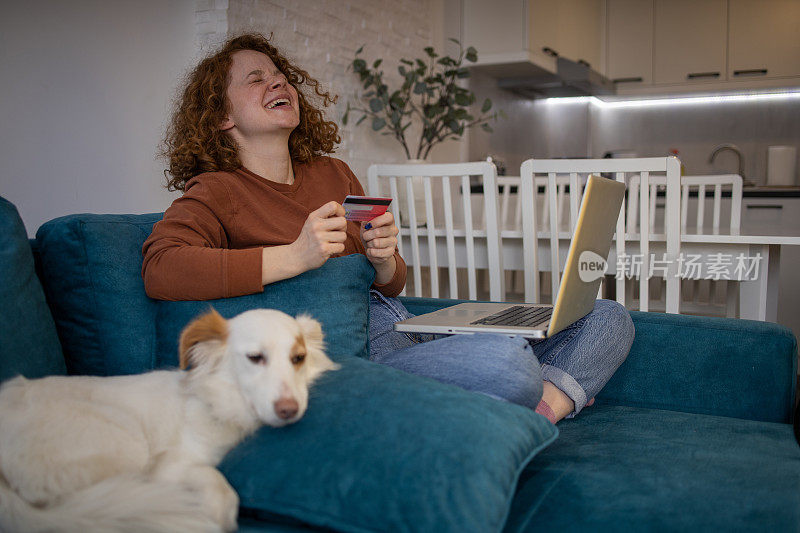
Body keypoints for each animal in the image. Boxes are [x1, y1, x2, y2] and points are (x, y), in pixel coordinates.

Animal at [0, 308, 340, 532]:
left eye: (298, 358)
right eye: (255, 358)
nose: (289, 410)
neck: (220, 401)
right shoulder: (169, 466)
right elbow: (218, 484)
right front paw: (216, 515)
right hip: (127, 443)